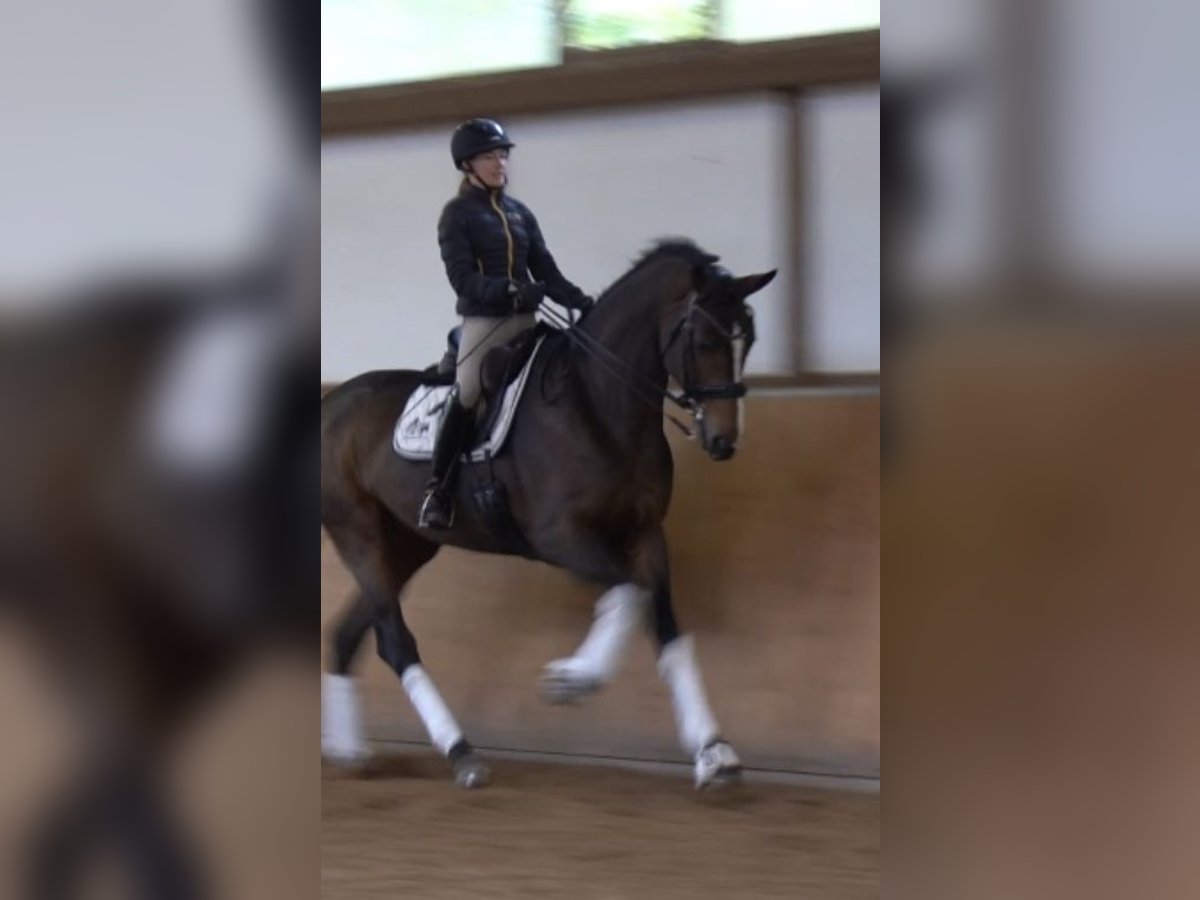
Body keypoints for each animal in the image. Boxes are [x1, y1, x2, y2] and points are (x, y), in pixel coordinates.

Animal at [319, 237, 772, 787]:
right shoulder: (561, 537)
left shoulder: (646, 533)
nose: (723, 441)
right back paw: (461, 753)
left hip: (406, 545)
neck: (596, 404)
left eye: (748, 339)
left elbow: (664, 622)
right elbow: (630, 592)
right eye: (704, 340)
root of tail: (330, 404)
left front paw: (713, 750)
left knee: (348, 635)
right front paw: (572, 680)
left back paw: (349, 752)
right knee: (394, 640)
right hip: (358, 532)